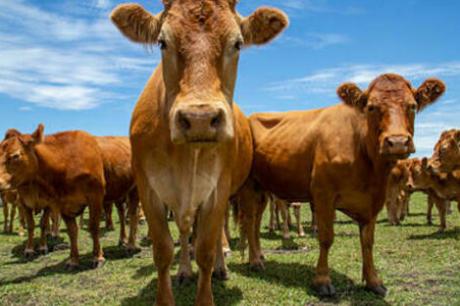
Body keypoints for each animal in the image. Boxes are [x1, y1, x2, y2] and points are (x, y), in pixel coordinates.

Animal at [0, 125, 107, 268]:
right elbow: (33, 226)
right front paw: (29, 249)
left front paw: (98, 257)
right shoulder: (26, 203)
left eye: (15, 155)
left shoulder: (93, 197)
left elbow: (92, 227)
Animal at [110, 1, 288, 304]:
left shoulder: (217, 189)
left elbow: (205, 248)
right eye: (162, 42)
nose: (200, 118)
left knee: (232, 230)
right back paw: (184, 270)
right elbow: (163, 250)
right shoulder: (149, 190)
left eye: (237, 43)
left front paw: (210, 276)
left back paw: (228, 265)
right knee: (185, 233)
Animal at [235, 73, 444, 296]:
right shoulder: (323, 194)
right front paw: (322, 280)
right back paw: (255, 261)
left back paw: (259, 255)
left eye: (412, 106)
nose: (397, 142)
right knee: (249, 220)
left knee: (256, 221)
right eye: (371, 107)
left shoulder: (373, 200)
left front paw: (373, 281)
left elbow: (368, 241)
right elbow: (326, 238)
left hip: (262, 188)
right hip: (248, 185)